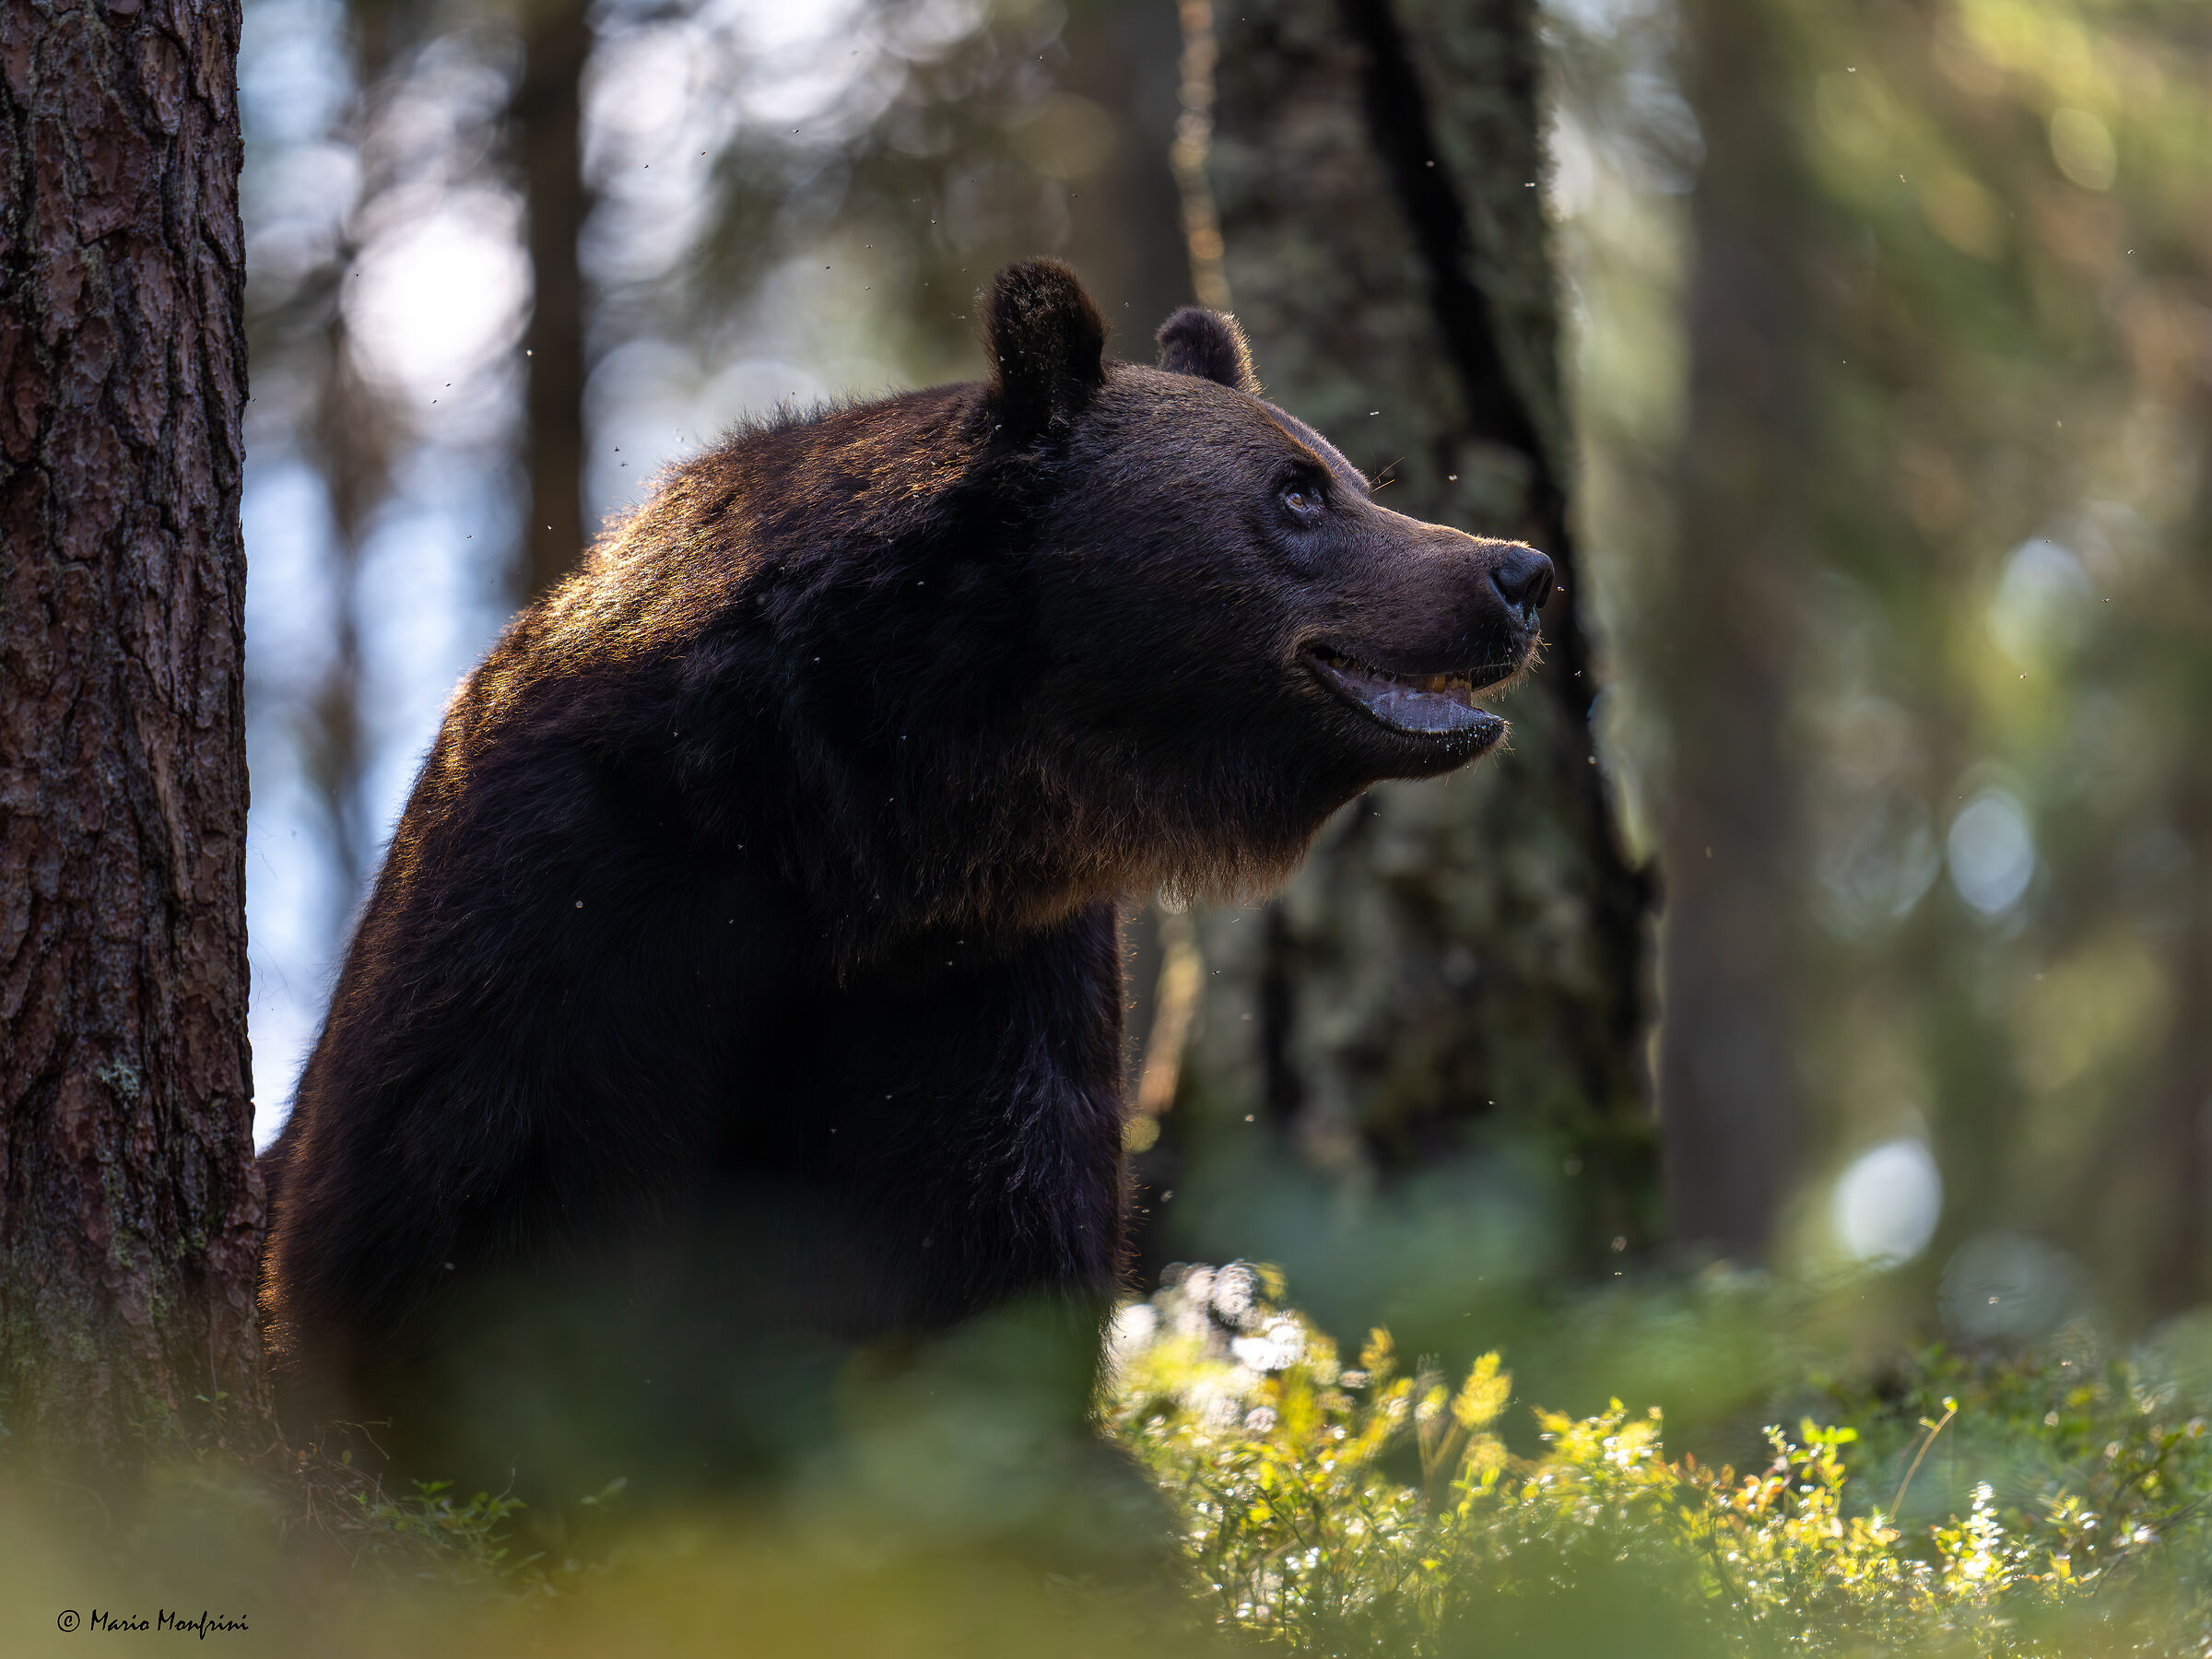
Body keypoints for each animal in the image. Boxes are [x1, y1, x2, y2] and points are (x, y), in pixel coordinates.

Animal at [258, 259, 1553, 1513]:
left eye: (1351, 475)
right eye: (1297, 492)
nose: (1518, 572)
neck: (847, 819)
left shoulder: (985, 972)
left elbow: (980, 1249)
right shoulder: (586, 893)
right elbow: (472, 1207)